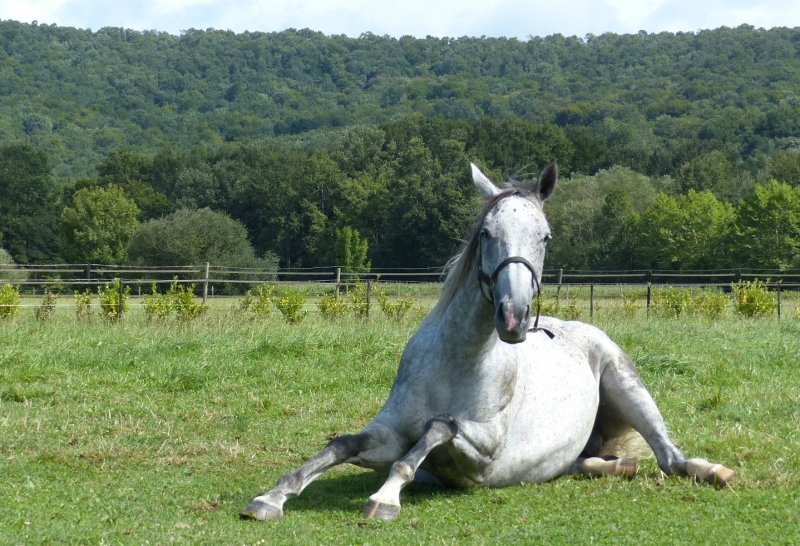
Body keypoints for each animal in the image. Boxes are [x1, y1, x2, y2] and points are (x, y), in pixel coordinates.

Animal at [241, 162, 733, 521]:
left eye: (545, 237)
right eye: (485, 233)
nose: (513, 317)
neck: (457, 362)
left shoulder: (483, 452)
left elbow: (436, 429)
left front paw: (385, 498)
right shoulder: (388, 433)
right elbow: (340, 444)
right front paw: (272, 497)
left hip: (628, 386)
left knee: (670, 459)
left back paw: (712, 470)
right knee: (584, 462)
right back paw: (619, 466)